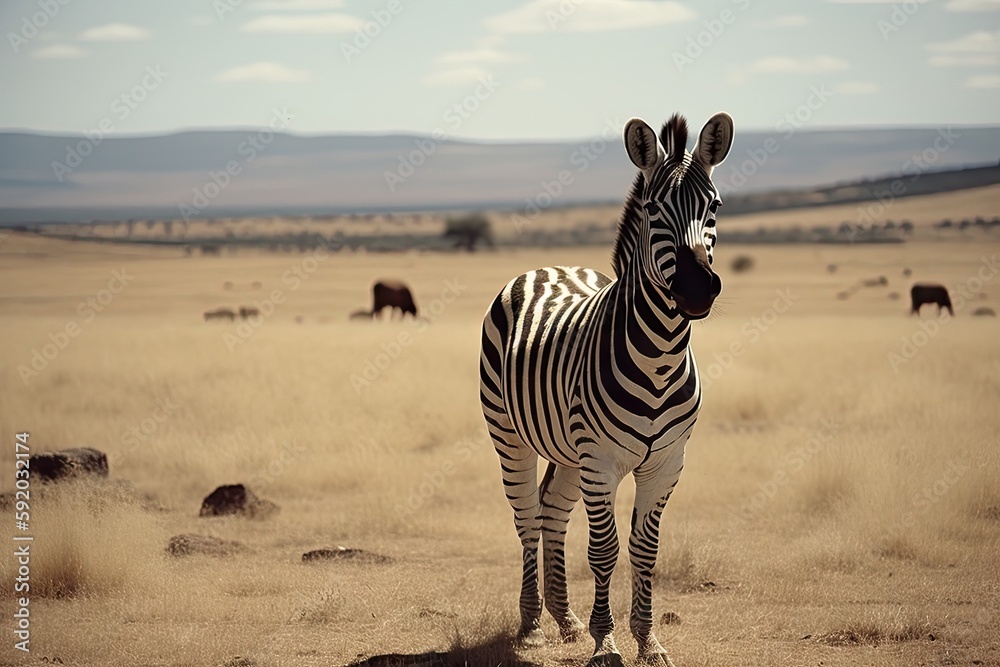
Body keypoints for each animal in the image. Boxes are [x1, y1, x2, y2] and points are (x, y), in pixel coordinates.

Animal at [479, 112, 733, 667]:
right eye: (654, 208)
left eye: (715, 206)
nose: (696, 289)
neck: (660, 357)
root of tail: (547, 267)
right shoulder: (601, 460)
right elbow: (604, 551)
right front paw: (605, 643)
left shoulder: (666, 463)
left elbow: (645, 550)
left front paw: (648, 640)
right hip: (510, 435)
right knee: (527, 516)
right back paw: (533, 625)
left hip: (570, 451)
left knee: (552, 512)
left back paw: (565, 620)